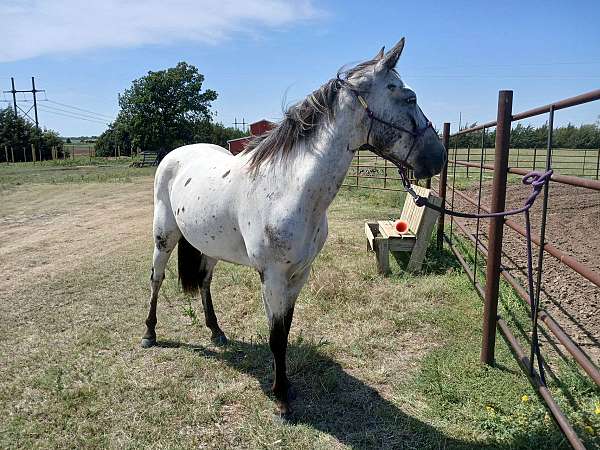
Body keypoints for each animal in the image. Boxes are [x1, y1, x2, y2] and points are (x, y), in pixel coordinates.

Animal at [141, 39, 446, 418]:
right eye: (409, 97)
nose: (439, 157)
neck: (289, 188)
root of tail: (175, 155)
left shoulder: (300, 273)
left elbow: (284, 331)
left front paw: (285, 386)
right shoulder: (272, 276)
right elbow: (275, 337)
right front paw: (282, 397)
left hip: (208, 245)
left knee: (205, 283)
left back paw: (216, 332)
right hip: (164, 236)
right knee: (156, 279)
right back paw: (150, 334)